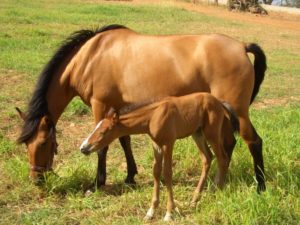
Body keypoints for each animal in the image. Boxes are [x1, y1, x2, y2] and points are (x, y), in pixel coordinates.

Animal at [15, 24, 268, 192]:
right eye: (26, 144)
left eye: (44, 143)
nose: (36, 179)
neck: (90, 56)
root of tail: (241, 47)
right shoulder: (117, 109)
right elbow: (123, 140)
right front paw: (130, 176)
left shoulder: (100, 106)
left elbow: (102, 146)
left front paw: (97, 183)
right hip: (222, 113)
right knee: (229, 144)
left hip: (238, 112)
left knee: (253, 142)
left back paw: (260, 187)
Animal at [79, 92, 239, 221]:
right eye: (95, 128)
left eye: (103, 132)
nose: (83, 148)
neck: (153, 116)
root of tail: (219, 102)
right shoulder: (156, 145)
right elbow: (156, 172)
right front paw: (151, 212)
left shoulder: (168, 143)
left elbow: (167, 173)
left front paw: (169, 213)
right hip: (197, 133)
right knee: (207, 158)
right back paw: (194, 200)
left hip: (211, 133)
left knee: (222, 158)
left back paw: (217, 191)